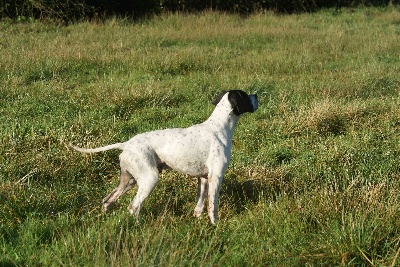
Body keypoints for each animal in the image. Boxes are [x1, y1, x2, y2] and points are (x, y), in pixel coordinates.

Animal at [71, 90, 260, 224]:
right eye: (245, 95)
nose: (257, 95)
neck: (219, 127)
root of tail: (126, 144)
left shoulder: (203, 179)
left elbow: (199, 205)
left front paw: (197, 221)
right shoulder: (216, 177)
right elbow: (212, 206)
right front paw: (215, 225)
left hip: (129, 180)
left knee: (107, 200)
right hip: (149, 179)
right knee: (133, 206)